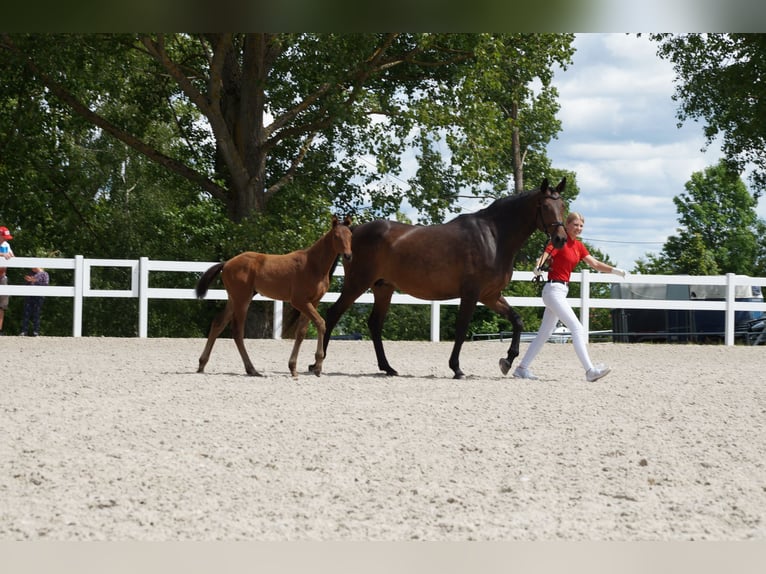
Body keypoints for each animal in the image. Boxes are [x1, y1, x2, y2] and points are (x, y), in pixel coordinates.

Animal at [196, 214, 353, 377]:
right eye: (336, 236)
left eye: (350, 236)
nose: (348, 256)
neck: (313, 265)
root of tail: (226, 263)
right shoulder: (299, 301)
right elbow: (321, 323)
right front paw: (317, 366)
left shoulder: (313, 301)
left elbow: (301, 331)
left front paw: (295, 367)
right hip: (242, 300)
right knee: (237, 332)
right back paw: (251, 369)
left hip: (234, 299)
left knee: (218, 323)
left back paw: (202, 364)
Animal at [318, 178, 568, 379]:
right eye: (545, 206)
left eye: (563, 205)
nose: (561, 239)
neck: (493, 237)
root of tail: (354, 231)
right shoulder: (471, 294)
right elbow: (462, 329)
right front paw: (456, 368)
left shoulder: (490, 295)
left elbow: (517, 320)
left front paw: (507, 360)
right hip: (356, 284)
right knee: (332, 314)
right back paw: (317, 364)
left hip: (383, 288)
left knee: (374, 324)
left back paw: (388, 368)